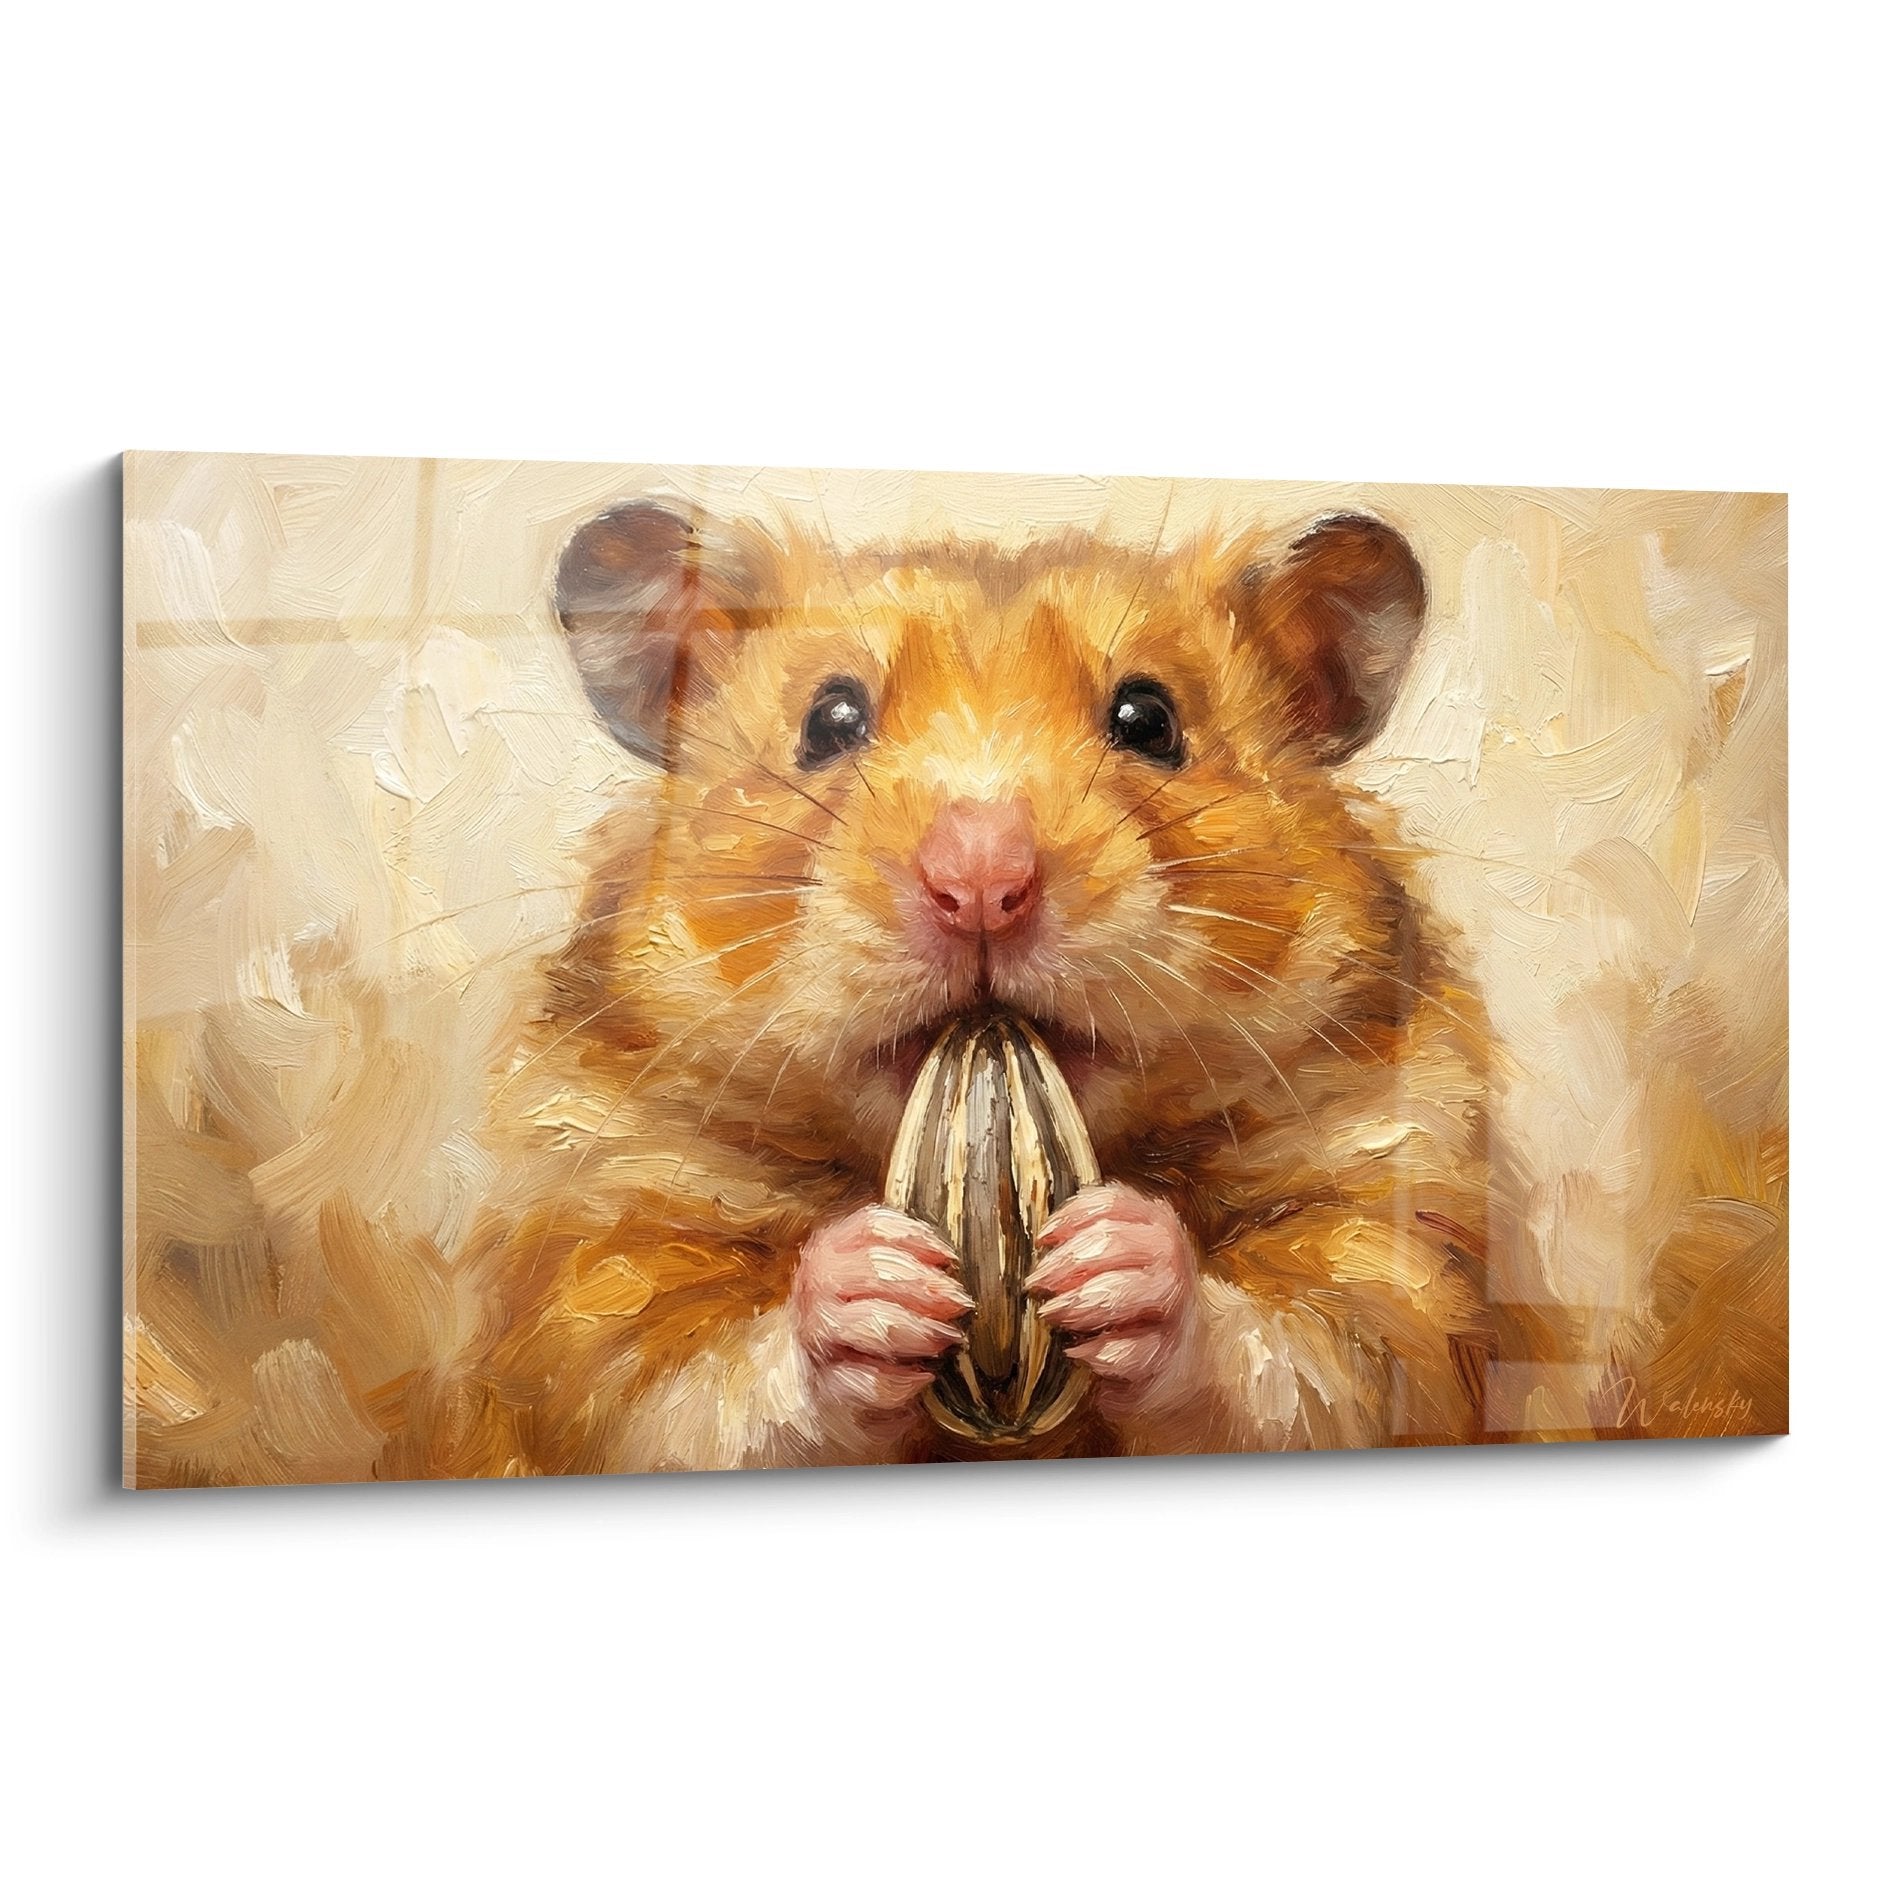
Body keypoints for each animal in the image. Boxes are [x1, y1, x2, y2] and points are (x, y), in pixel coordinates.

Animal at [408, 497, 1560, 1477]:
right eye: (830, 721)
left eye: (1149, 720)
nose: (979, 884)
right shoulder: (602, 1263)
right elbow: (691, 1394)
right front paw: (868, 1285)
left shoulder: (1397, 1232)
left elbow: (1311, 1364)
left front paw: (1121, 1260)